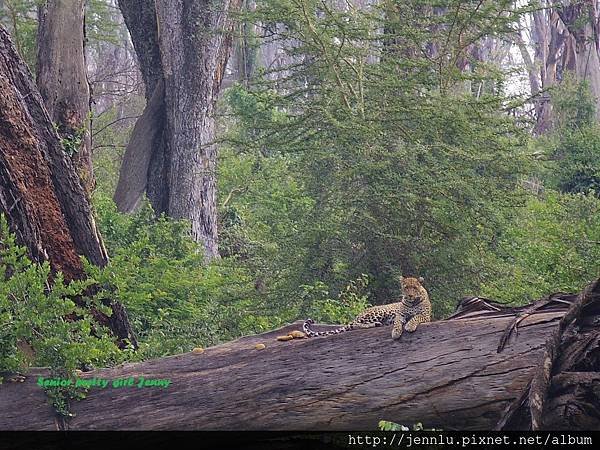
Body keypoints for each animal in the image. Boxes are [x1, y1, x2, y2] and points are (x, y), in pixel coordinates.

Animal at [304, 274, 432, 342]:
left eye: (414, 288)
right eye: (406, 287)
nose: (410, 295)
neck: (412, 302)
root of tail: (359, 314)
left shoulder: (425, 315)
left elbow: (416, 317)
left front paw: (409, 326)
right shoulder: (400, 315)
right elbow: (397, 323)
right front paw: (396, 332)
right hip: (380, 312)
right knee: (355, 325)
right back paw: (375, 324)